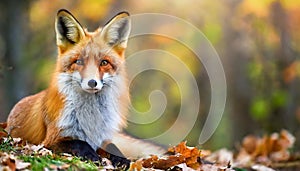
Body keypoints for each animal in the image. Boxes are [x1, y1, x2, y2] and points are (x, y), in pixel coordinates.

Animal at [5, 9, 164, 164]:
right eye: (79, 61)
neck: (90, 116)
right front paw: (92, 156)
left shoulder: (103, 138)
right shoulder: (49, 141)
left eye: (104, 62)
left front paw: (121, 159)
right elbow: (80, 143)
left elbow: (113, 146)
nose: (92, 82)